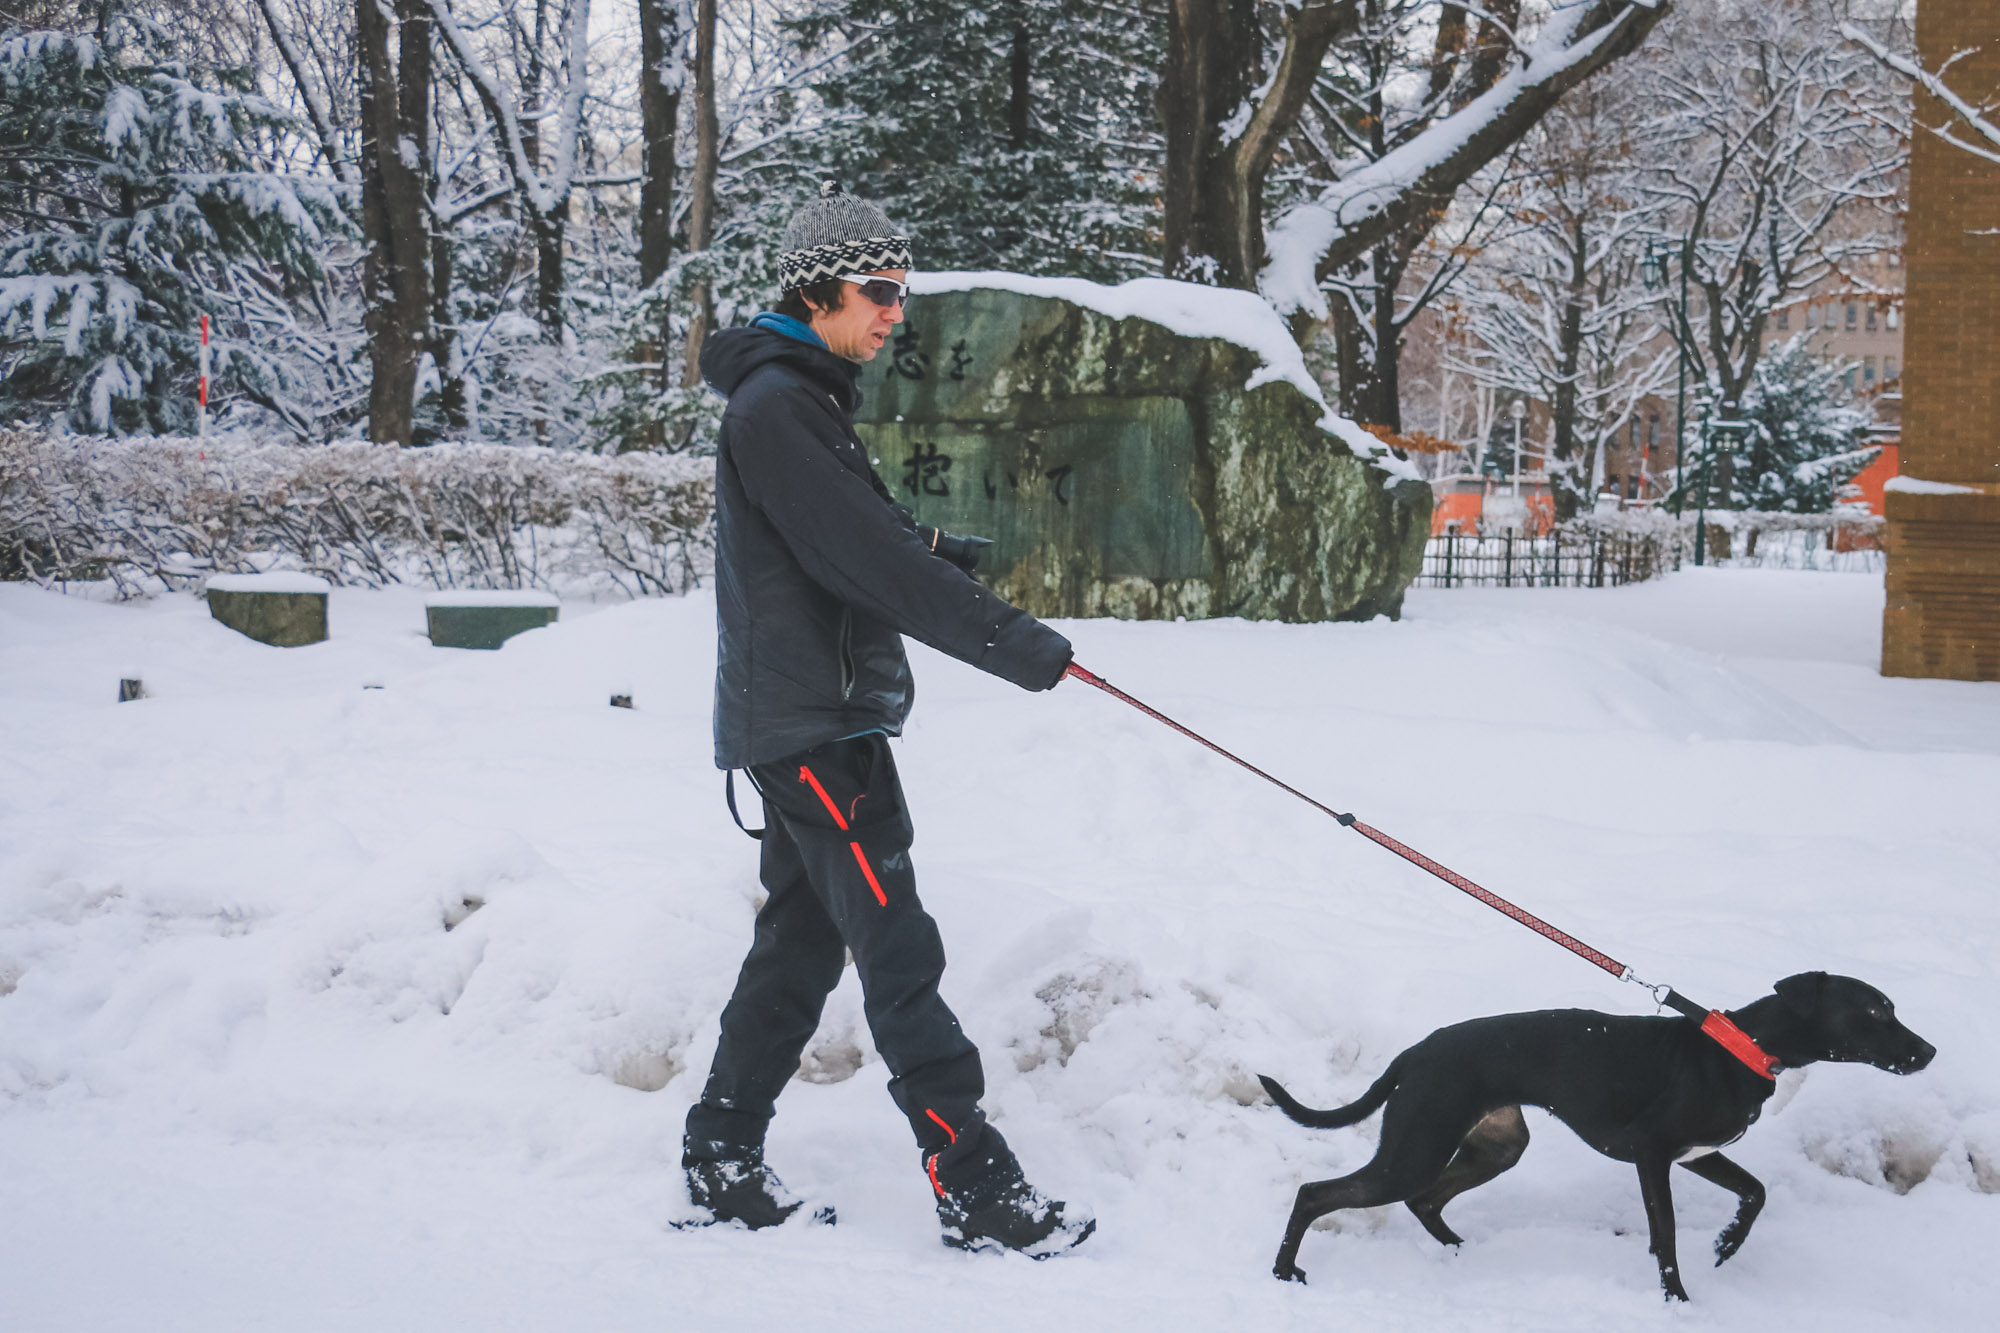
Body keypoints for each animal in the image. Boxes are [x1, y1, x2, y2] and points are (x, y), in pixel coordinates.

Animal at [1264, 972, 1936, 1288]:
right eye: (1876, 1010)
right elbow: (1666, 1238)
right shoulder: (1653, 1155)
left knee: (1425, 1201)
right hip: (1417, 1148)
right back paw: (1283, 1272)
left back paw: (1461, 1251)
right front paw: (1677, 1301)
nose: (1929, 1052)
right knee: (1316, 1194)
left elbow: (1756, 1192)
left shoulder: (1697, 1154)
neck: (1742, 1047)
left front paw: (1726, 1245)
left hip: (1497, 1146)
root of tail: (1415, 1053)